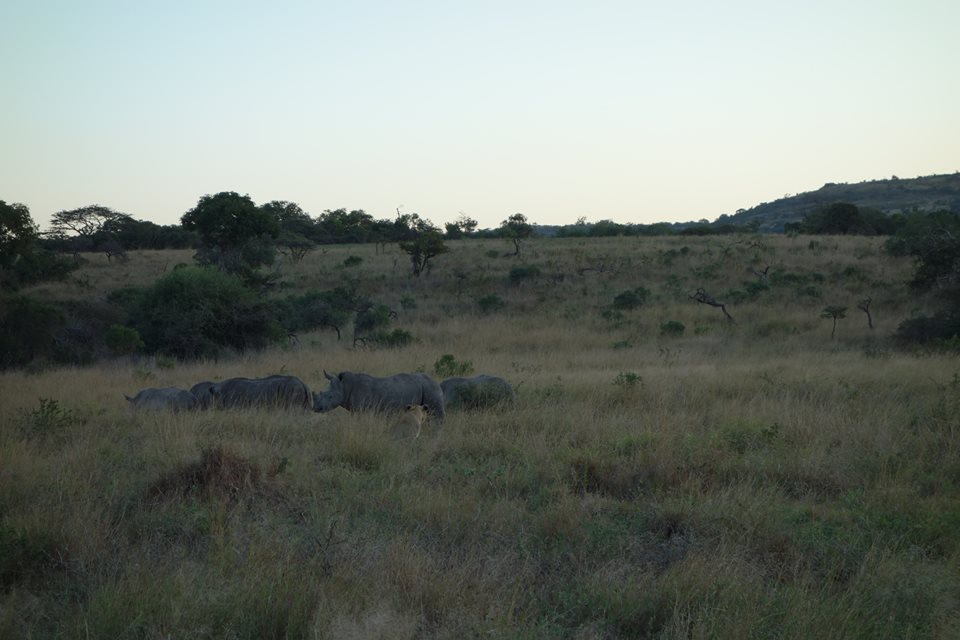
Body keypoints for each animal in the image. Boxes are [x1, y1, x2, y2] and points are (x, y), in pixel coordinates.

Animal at [313, 371, 445, 421]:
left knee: (435, 413)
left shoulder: (362, 410)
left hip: (430, 388)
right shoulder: (357, 410)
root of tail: (435, 381)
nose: (316, 408)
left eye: (330, 396)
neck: (345, 386)